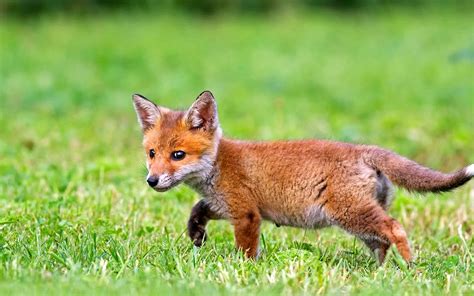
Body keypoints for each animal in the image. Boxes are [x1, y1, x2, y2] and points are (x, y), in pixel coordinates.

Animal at [131, 90, 472, 264]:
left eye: (178, 155)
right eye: (152, 153)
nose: (152, 181)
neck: (218, 164)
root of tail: (364, 149)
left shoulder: (246, 214)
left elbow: (246, 250)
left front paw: (245, 272)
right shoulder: (224, 205)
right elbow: (198, 210)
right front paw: (196, 234)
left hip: (350, 213)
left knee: (395, 228)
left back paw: (409, 268)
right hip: (360, 221)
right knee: (381, 241)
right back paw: (380, 273)